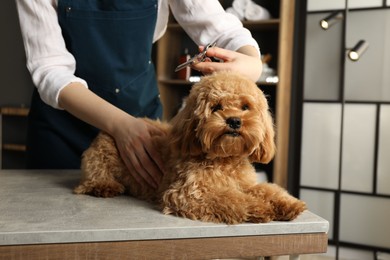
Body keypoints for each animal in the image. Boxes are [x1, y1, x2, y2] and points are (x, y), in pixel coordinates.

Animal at [74, 72, 304, 224]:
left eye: (245, 107)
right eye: (216, 107)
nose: (234, 121)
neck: (224, 159)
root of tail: (106, 132)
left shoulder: (245, 184)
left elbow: (267, 189)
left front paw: (287, 204)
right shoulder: (188, 193)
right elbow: (231, 198)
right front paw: (258, 208)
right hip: (99, 161)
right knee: (93, 180)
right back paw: (104, 187)